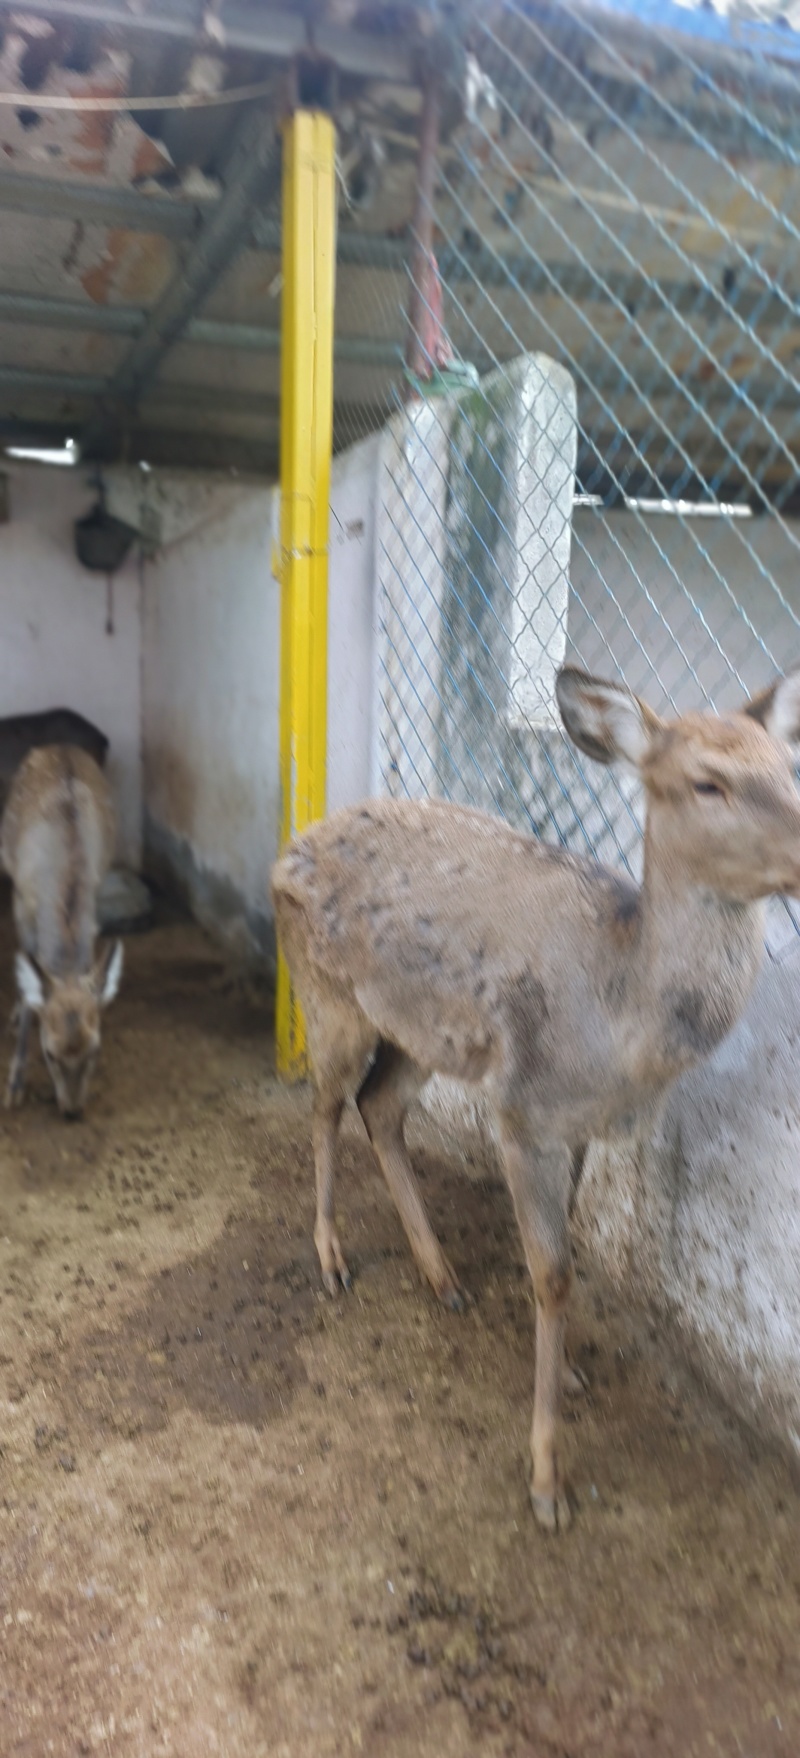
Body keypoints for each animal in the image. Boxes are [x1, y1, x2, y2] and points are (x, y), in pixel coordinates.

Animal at [1, 746, 124, 1120]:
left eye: (95, 1050)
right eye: (49, 1053)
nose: (71, 1112)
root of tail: (60, 746)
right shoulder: (20, 903)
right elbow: (30, 987)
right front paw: (15, 1086)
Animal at [271, 664, 800, 1533]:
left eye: (789, 767)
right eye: (707, 782)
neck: (620, 1035)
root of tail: (291, 846)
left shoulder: (574, 1124)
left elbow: (570, 1256)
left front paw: (571, 1371)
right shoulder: (521, 1112)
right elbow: (550, 1273)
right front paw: (548, 1478)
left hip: (424, 1032)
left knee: (381, 1107)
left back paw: (443, 1276)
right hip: (327, 994)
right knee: (323, 1105)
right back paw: (332, 1258)